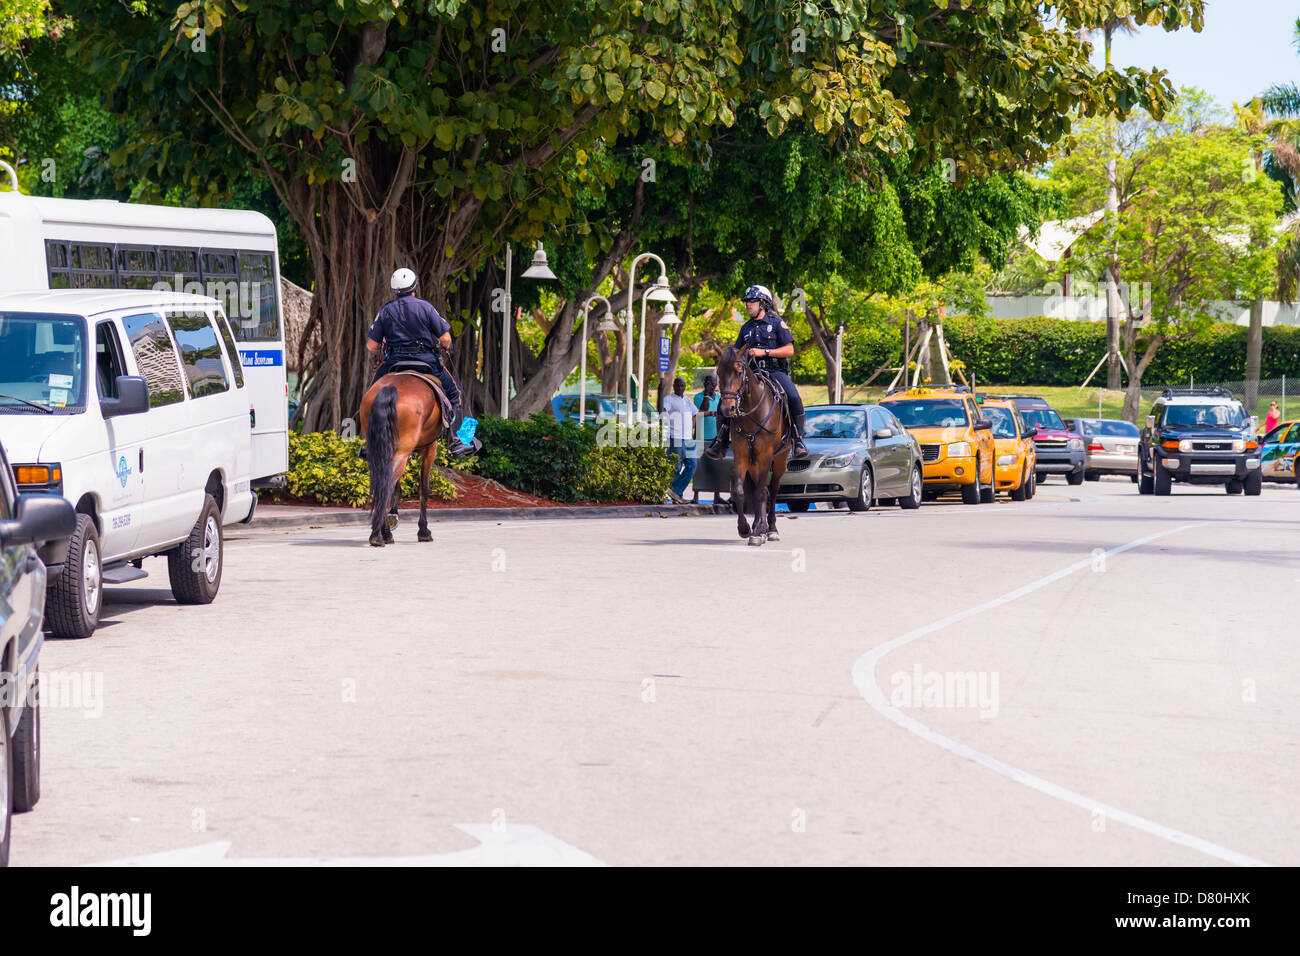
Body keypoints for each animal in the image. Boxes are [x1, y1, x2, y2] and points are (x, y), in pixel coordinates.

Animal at [361, 377, 447, 548]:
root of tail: (390, 387)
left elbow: (398, 488)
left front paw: (393, 514)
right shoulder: (430, 450)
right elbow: (424, 489)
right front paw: (424, 531)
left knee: (383, 483)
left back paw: (380, 532)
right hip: (403, 451)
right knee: (386, 485)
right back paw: (380, 535)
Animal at [717, 345, 785, 546]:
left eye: (739, 372)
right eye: (718, 372)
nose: (727, 409)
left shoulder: (766, 455)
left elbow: (761, 494)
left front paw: (758, 531)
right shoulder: (741, 456)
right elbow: (740, 492)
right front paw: (745, 528)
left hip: (780, 459)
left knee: (772, 491)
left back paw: (771, 529)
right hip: (754, 464)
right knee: (761, 490)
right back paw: (759, 528)